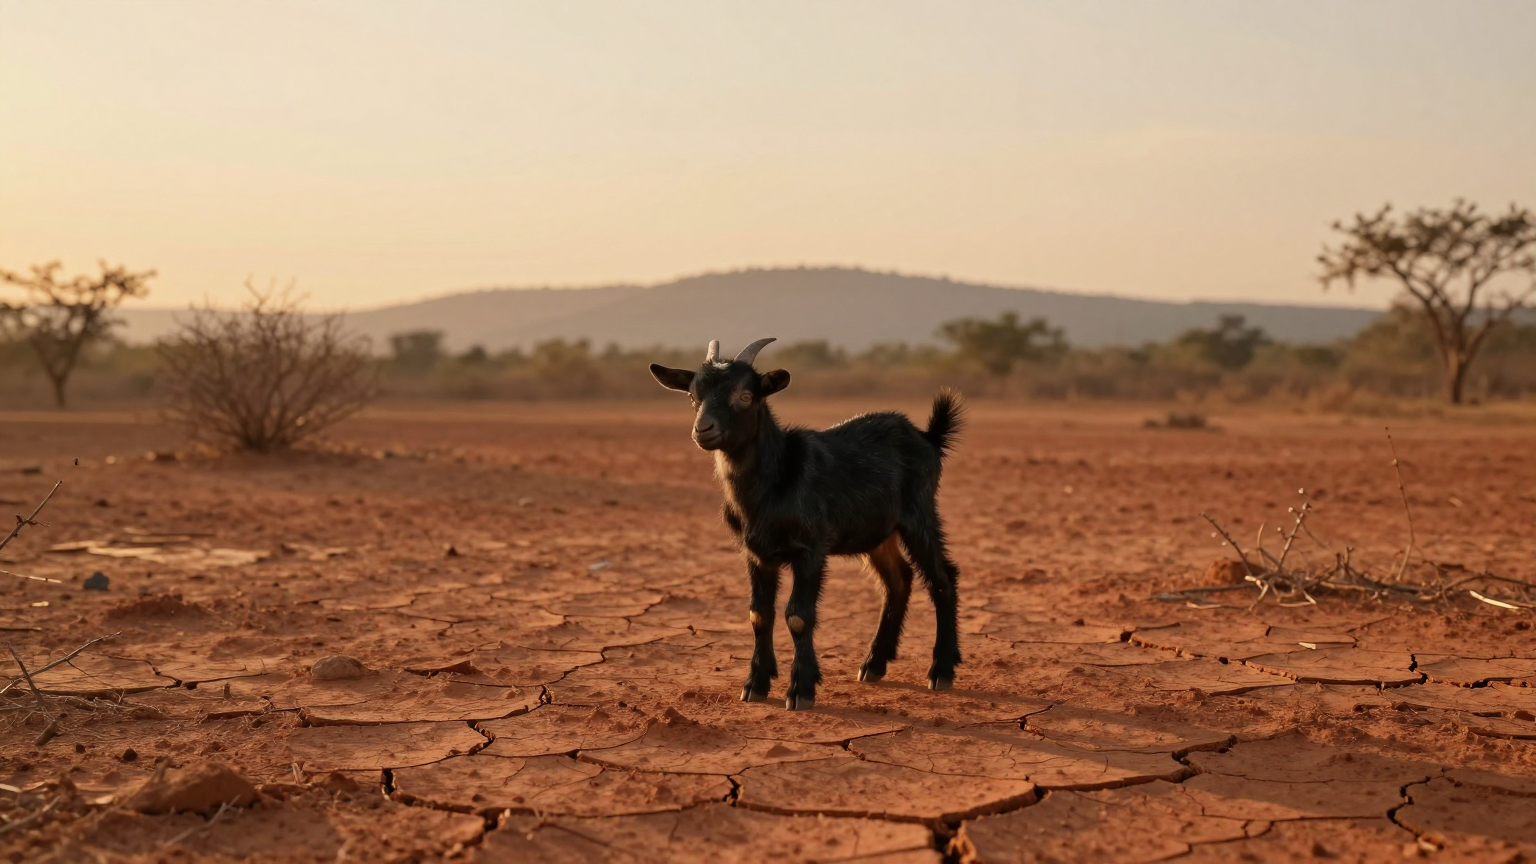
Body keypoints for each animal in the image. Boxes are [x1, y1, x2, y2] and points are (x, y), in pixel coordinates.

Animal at [649, 337, 964, 710]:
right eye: (693, 397)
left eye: (745, 395)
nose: (703, 429)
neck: (774, 481)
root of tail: (928, 437)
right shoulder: (757, 554)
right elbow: (759, 615)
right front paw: (755, 684)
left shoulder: (811, 549)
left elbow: (798, 616)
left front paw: (801, 689)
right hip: (876, 533)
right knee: (898, 580)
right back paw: (874, 664)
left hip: (919, 515)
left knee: (942, 577)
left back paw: (941, 670)